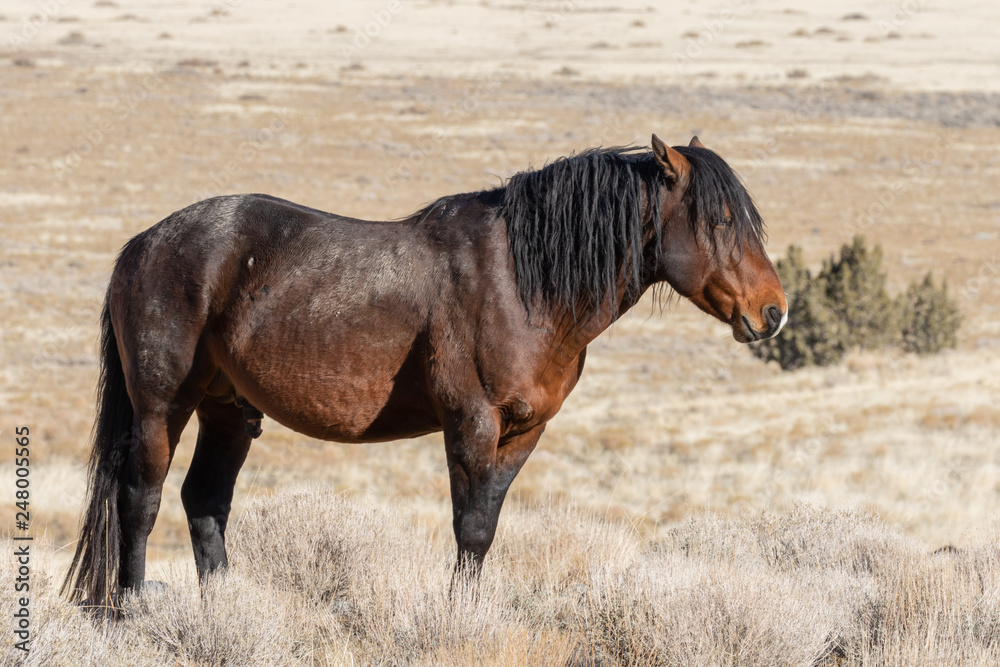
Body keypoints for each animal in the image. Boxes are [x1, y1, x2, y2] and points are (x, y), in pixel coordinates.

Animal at [62, 135, 787, 608]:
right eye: (721, 220)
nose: (773, 312)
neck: (522, 282)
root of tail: (143, 244)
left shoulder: (523, 433)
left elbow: (485, 528)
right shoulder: (471, 422)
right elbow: (469, 526)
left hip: (229, 410)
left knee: (204, 501)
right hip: (163, 407)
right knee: (141, 496)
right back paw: (130, 608)